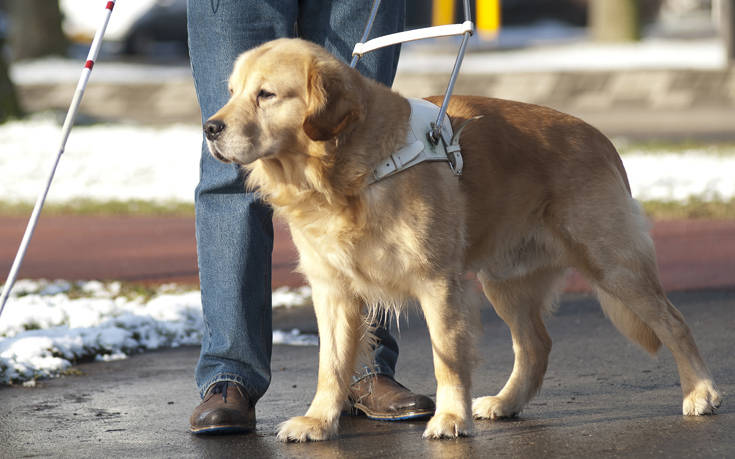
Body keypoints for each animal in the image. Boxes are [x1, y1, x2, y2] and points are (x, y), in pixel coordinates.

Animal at [204, 39, 720, 442]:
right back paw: (507, 402)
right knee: (535, 345)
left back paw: (700, 391)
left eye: (266, 94)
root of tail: (600, 137)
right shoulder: (333, 288)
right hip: (504, 280)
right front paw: (318, 421)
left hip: (611, 261)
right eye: (231, 93)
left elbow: (447, 357)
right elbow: (331, 364)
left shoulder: (437, 280)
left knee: (674, 322)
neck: (347, 171)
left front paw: (450, 418)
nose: (210, 127)